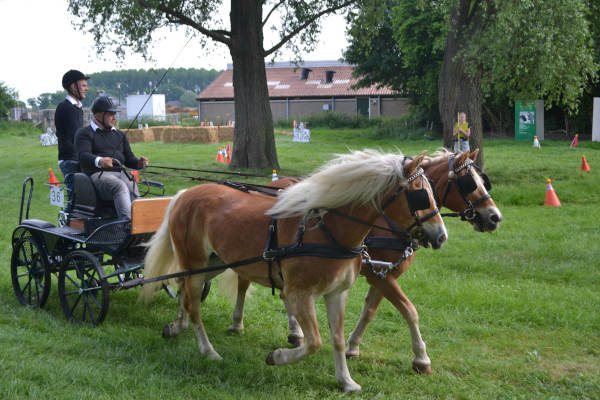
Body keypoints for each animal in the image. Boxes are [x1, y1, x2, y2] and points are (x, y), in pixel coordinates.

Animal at [143, 149, 448, 390]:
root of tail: (185, 194)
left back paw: (176, 326)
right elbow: (314, 342)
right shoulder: (300, 294)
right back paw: (208, 351)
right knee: (194, 305)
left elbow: (337, 338)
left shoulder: (338, 293)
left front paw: (346, 381)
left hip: (214, 263)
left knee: (183, 291)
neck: (328, 230)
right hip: (195, 264)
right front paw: (277, 356)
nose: (441, 236)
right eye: (421, 195)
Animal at [226, 149, 502, 376]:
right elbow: (409, 310)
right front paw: (421, 358)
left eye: (482, 181)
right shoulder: (380, 273)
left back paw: (295, 332)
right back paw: (238, 322)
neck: (389, 223)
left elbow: (370, 311)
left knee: (283, 292)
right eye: (469, 183)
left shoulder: (384, 274)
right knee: (244, 281)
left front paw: (352, 347)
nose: (495, 217)